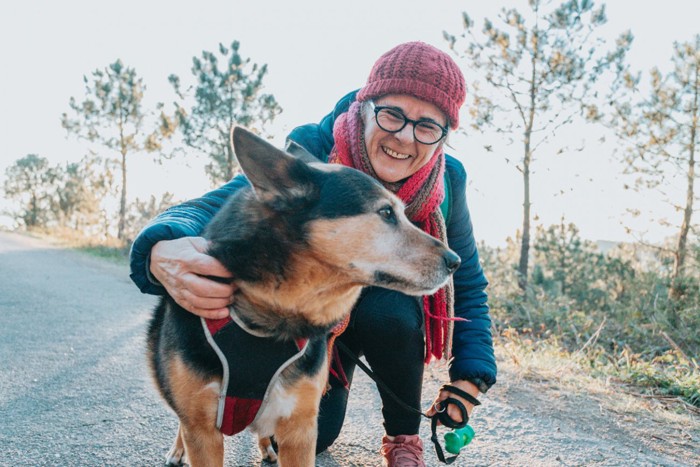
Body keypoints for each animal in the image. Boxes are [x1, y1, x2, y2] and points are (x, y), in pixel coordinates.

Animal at [148, 126, 460, 466]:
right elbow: (192, 425)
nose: (455, 261)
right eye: (386, 212)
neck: (273, 316)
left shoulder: (300, 427)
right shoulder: (203, 431)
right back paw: (179, 449)